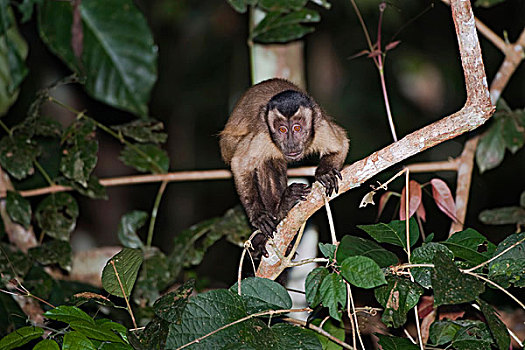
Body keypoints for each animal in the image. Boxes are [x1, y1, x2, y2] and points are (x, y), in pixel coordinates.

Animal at [220, 78, 348, 256]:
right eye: (282, 129)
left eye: (297, 128)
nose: (290, 144)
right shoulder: (262, 135)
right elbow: (239, 164)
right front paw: (258, 216)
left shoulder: (320, 125)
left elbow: (341, 145)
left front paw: (325, 173)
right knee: (265, 162)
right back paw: (280, 210)